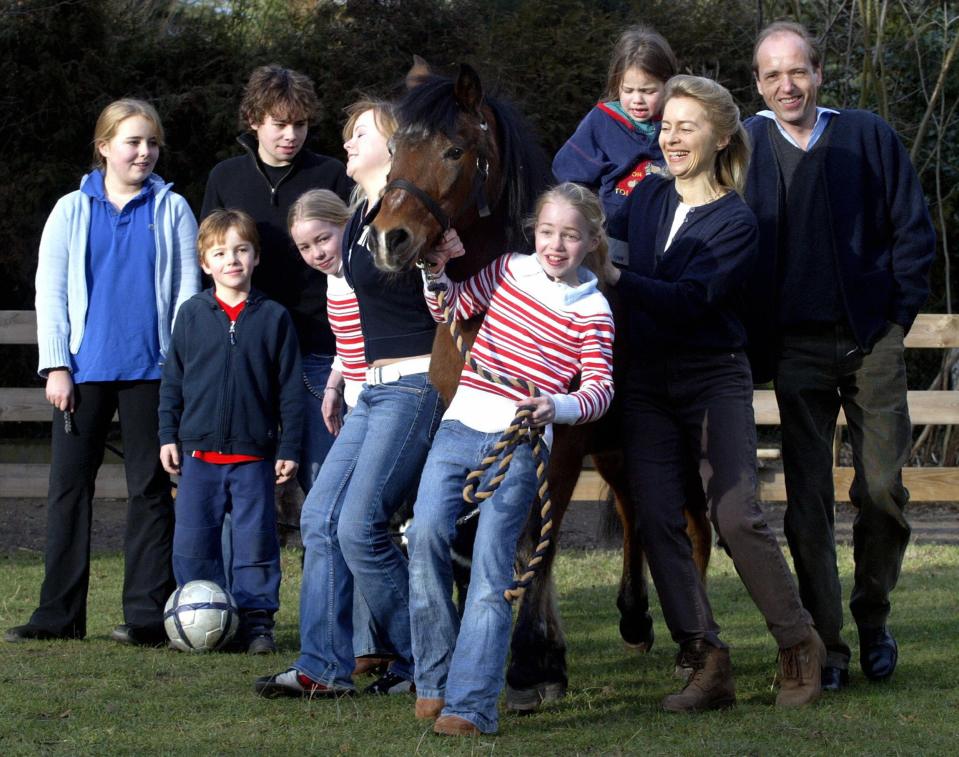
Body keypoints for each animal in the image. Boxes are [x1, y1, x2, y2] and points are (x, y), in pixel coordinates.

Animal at [364, 63, 708, 708]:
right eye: (396, 149)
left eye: (454, 149)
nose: (389, 238)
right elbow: (477, 538)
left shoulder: (561, 439)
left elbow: (537, 540)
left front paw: (533, 661)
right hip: (617, 446)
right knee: (633, 512)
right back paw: (634, 617)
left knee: (693, 522)